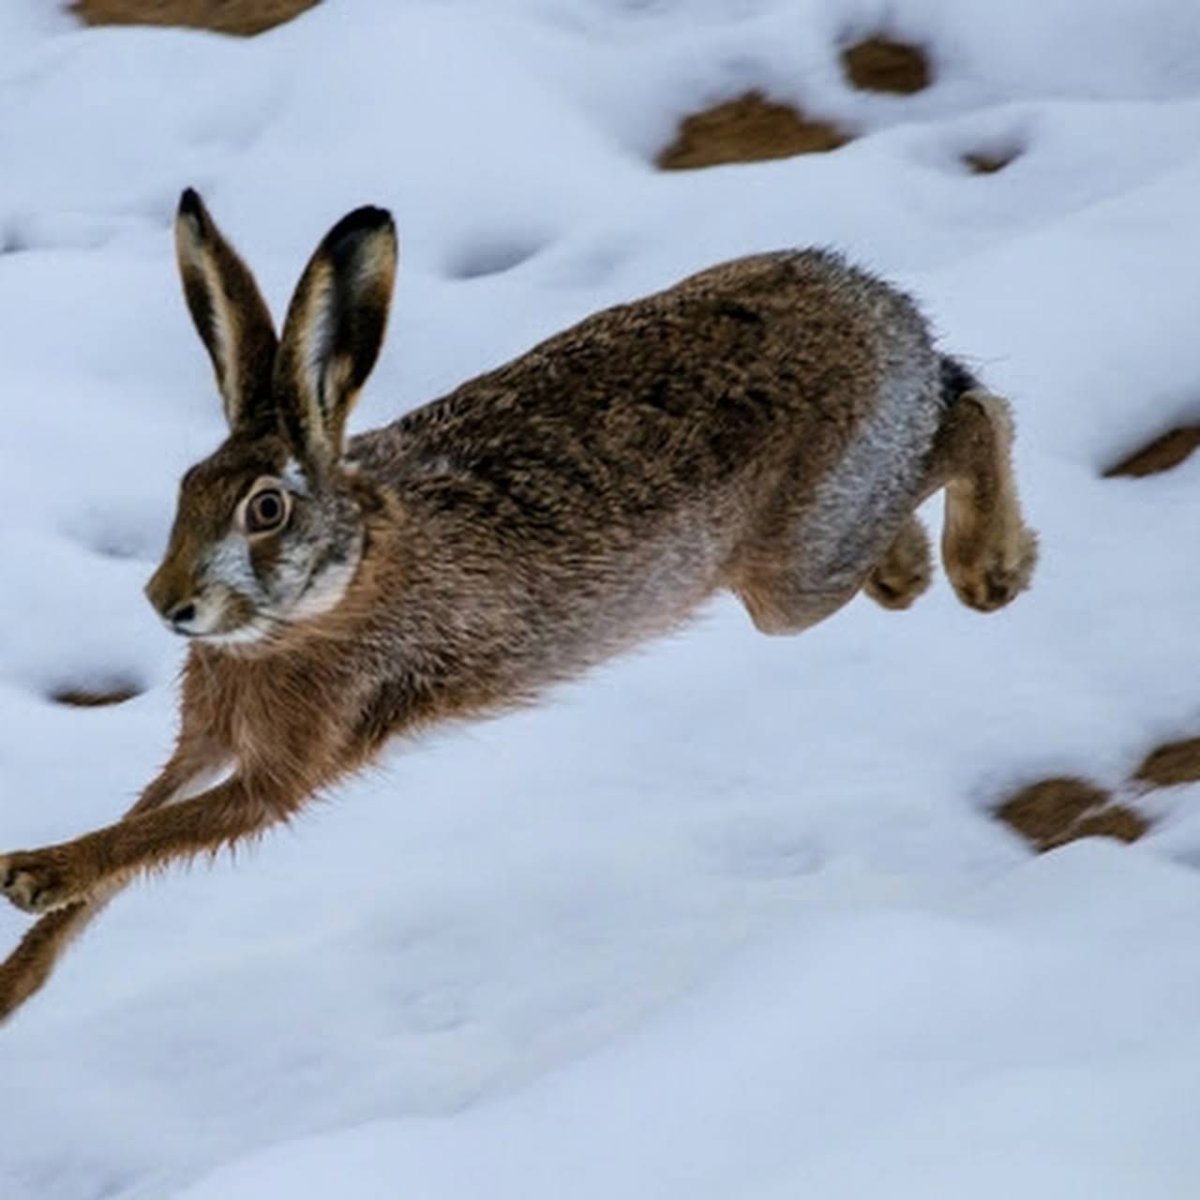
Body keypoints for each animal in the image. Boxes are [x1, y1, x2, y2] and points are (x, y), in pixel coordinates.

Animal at [0, 189, 1037, 1021]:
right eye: (185, 490)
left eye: (265, 509)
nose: (169, 604)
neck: (339, 577)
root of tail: (885, 310)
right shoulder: (206, 740)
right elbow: (139, 826)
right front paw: (18, 980)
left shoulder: (289, 767)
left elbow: (158, 835)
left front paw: (30, 874)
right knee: (949, 422)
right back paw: (911, 569)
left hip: (793, 573)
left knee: (973, 414)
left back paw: (988, 570)